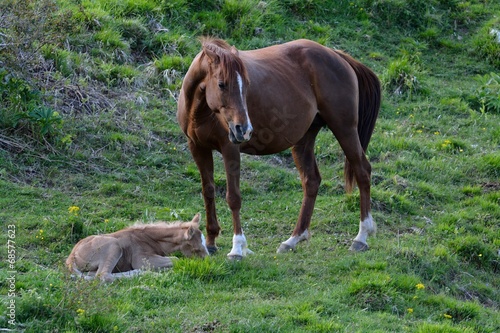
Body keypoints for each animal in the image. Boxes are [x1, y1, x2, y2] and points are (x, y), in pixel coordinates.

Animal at [65, 213, 208, 280]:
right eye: (197, 249)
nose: (209, 261)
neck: (150, 239)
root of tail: (71, 256)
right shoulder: (142, 259)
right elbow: (176, 259)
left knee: (93, 274)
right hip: (114, 246)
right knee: (103, 276)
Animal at [178, 37, 380, 258]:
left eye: (247, 85)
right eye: (222, 84)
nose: (244, 130)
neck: (201, 111)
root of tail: (338, 56)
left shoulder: (230, 149)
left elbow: (233, 198)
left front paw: (237, 248)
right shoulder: (198, 148)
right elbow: (208, 191)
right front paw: (211, 241)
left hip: (345, 129)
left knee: (362, 171)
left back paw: (361, 237)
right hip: (304, 140)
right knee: (311, 181)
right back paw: (293, 239)